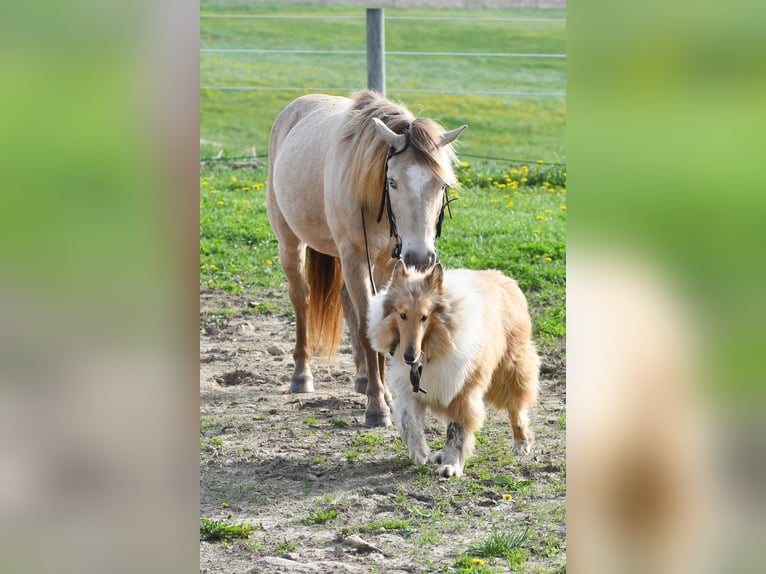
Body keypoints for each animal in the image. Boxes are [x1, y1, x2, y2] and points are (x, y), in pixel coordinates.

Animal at [266, 90, 466, 427]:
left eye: (441, 185)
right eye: (393, 182)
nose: (420, 256)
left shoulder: (387, 262)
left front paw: (385, 393)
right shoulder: (354, 256)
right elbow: (364, 326)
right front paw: (376, 406)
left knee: (347, 300)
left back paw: (361, 377)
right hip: (291, 243)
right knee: (301, 298)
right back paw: (302, 375)